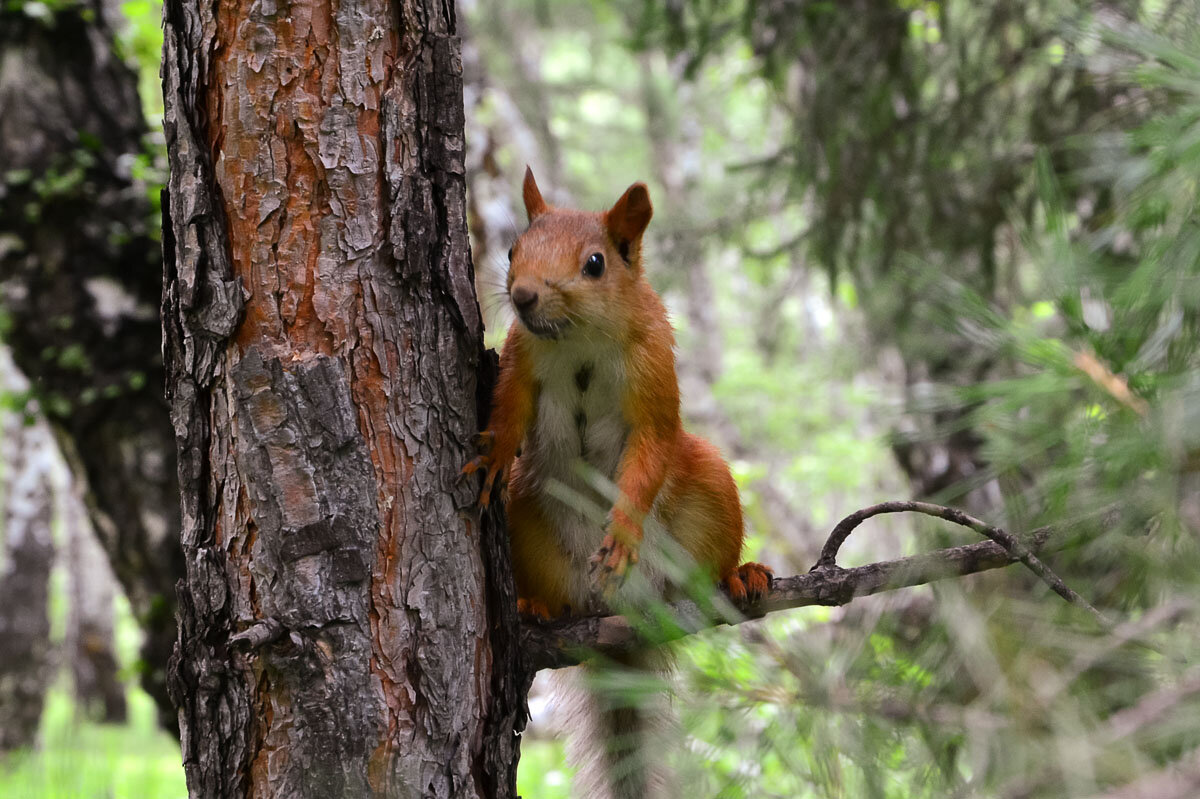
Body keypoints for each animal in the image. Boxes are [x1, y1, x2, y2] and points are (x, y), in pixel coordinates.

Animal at [463, 167, 763, 614]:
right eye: (514, 250)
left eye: (595, 263)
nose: (523, 296)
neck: (581, 337)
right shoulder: (523, 354)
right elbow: (510, 402)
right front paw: (497, 451)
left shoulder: (652, 365)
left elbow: (652, 438)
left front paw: (622, 534)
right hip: (526, 515)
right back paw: (534, 604)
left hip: (711, 493)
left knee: (709, 566)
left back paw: (739, 575)